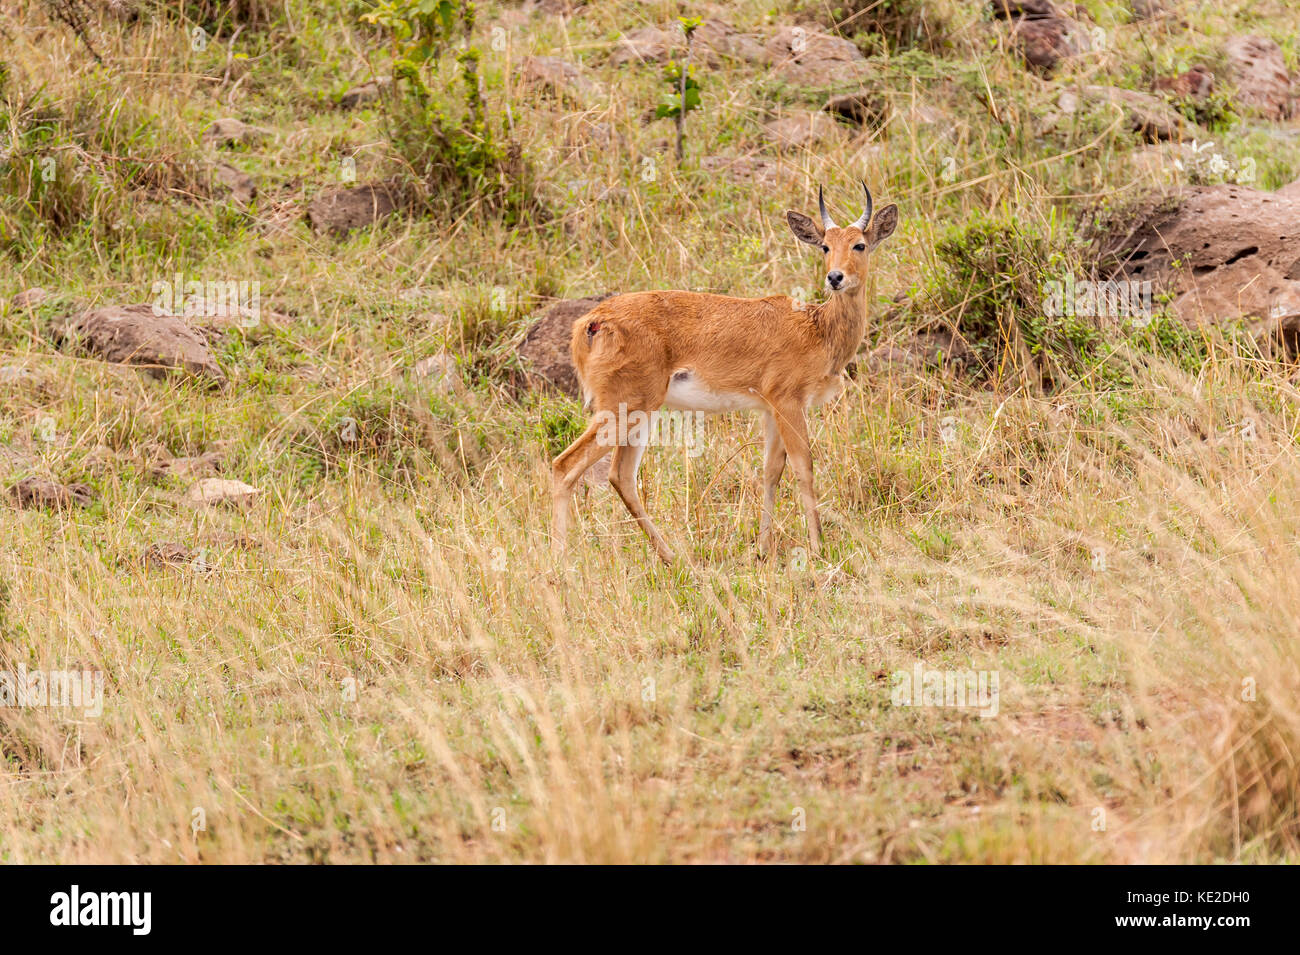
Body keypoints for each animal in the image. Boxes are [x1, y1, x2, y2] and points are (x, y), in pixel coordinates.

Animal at [546, 183, 894, 563]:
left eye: (859, 244)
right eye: (825, 246)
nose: (835, 277)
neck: (818, 328)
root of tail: (590, 323)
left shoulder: (769, 409)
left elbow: (771, 472)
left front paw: (762, 549)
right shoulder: (789, 403)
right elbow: (805, 467)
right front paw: (818, 547)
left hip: (640, 413)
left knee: (620, 475)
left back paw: (671, 557)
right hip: (625, 409)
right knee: (565, 466)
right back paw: (561, 560)